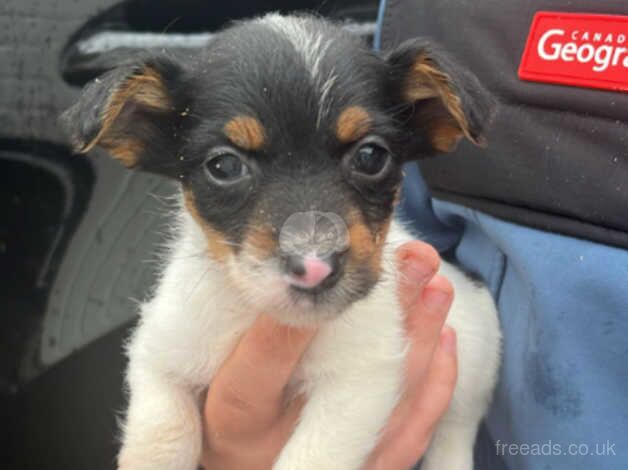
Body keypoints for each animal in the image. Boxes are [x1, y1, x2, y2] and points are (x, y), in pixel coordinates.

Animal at [59, 14, 500, 470]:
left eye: (371, 156)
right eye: (224, 165)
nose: (316, 267)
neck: (256, 314)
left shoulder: (358, 378)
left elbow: (311, 457)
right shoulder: (161, 353)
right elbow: (161, 437)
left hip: (476, 368)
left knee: (454, 433)